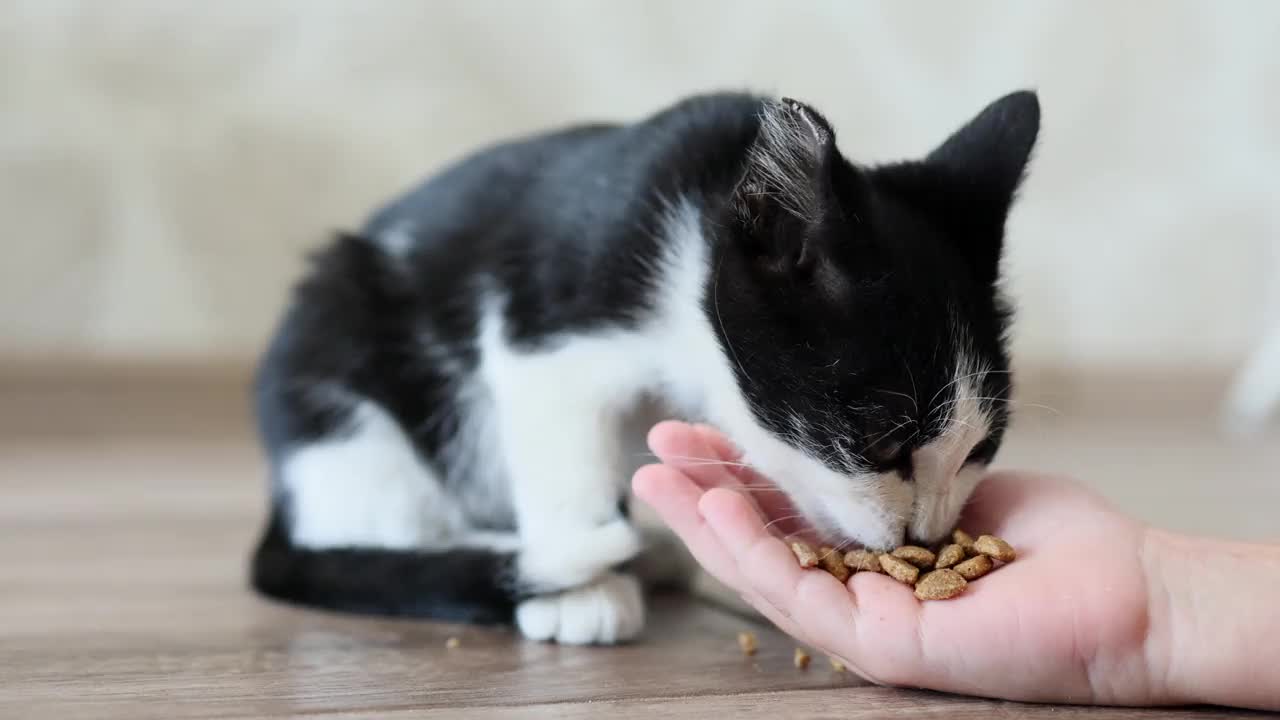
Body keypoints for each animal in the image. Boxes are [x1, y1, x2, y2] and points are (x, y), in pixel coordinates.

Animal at [249, 89, 1039, 645]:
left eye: (981, 447)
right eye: (881, 442)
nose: (925, 541)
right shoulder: (547, 319)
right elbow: (562, 445)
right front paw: (582, 586)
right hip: (340, 365)